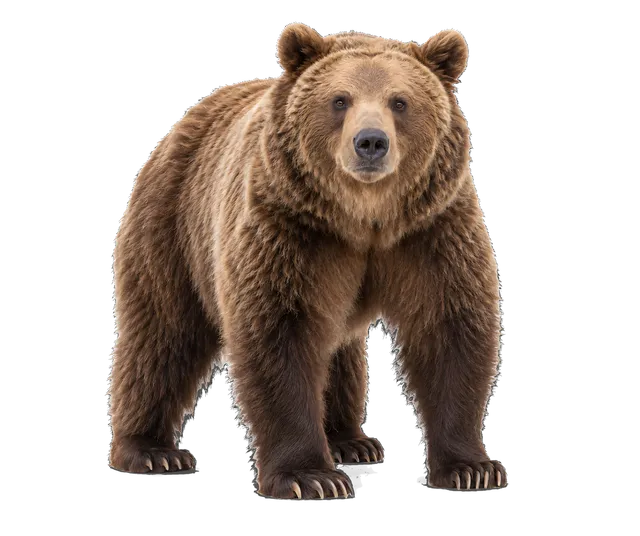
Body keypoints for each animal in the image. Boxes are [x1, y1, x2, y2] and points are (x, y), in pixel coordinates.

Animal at [108, 22, 507, 499]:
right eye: (339, 100)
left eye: (400, 101)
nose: (370, 142)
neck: (363, 218)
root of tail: (182, 123)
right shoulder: (290, 230)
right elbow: (281, 335)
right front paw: (310, 476)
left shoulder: (430, 230)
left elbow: (451, 329)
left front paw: (472, 467)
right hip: (173, 223)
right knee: (162, 334)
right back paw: (152, 451)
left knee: (337, 351)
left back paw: (350, 441)